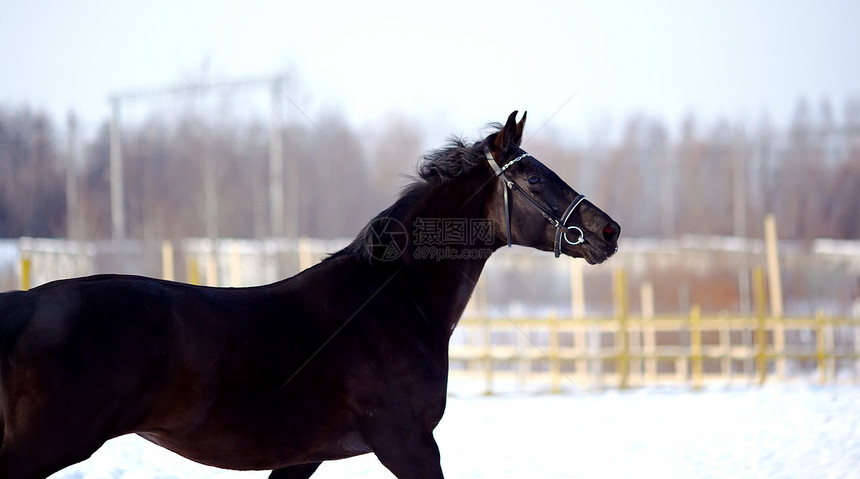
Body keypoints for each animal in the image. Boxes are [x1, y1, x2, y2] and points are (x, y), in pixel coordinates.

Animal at [0, 110, 620, 478]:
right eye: (534, 179)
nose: (607, 231)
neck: (394, 304)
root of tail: (21, 307)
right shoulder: (407, 442)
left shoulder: (305, 458)